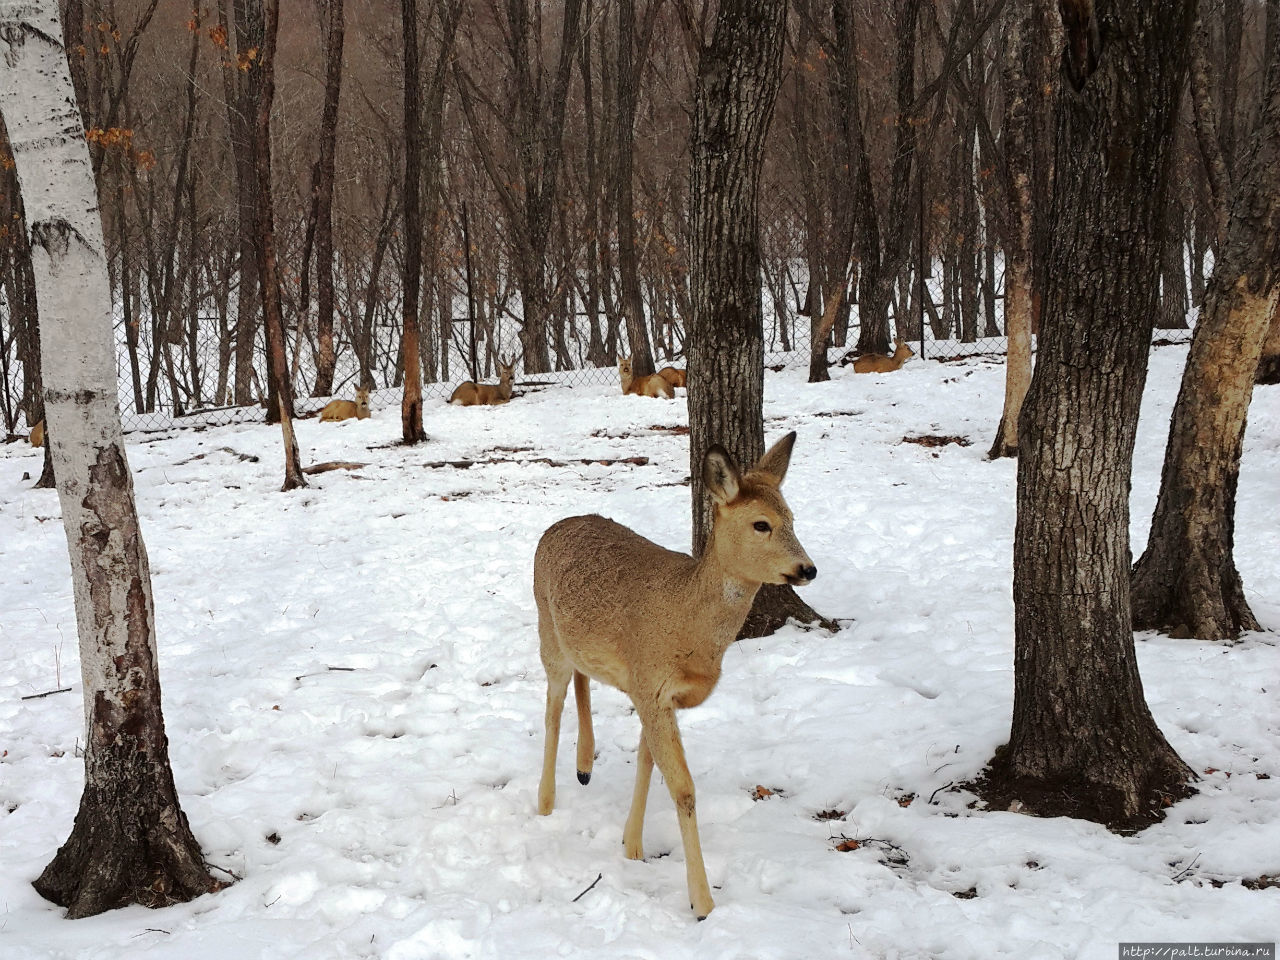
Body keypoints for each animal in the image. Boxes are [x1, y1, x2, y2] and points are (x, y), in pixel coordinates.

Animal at [532, 432, 814, 921]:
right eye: (761, 524)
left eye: (792, 519)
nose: (808, 569)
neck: (689, 626)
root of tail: (554, 526)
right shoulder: (650, 685)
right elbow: (683, 789)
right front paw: (701, 902)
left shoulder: (657, 694)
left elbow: (648, 761)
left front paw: (631, 845)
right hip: (546, 630)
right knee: (552, 709)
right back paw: (546, 804)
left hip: (575, 641)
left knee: (582, 680)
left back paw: (585, 765)